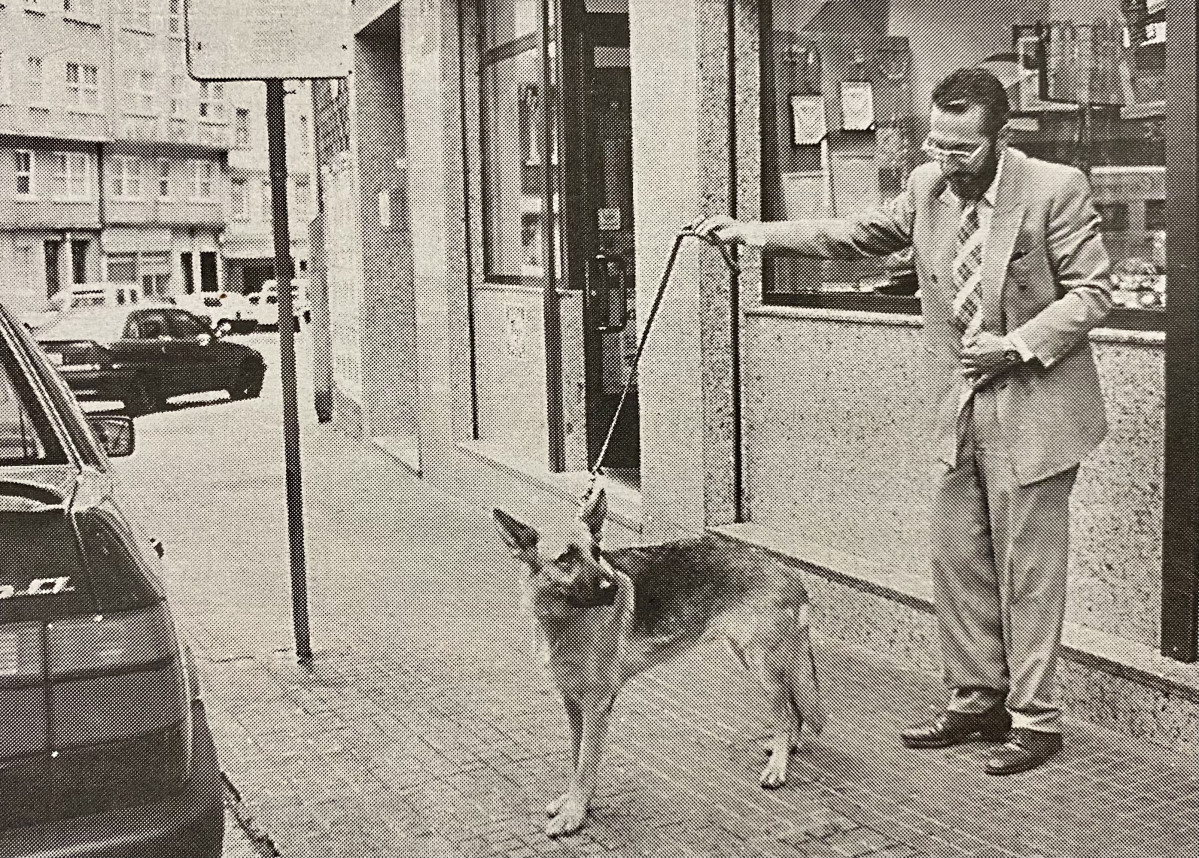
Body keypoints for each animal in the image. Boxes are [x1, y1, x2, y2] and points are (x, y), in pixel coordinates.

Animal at [489, 493, 824, 834]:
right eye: (565, 558)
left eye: (596, 552)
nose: (612, 587)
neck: (563, 620)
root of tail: (787, 570)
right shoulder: (573, 703)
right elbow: (576, 759)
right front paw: (572, 803)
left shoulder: (596, 706)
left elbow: (585, 766)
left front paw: (575, 814)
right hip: (753, 660)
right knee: (794, 709)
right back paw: (788, 748)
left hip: (762, 665)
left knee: (786, 714)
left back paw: (778, 767)